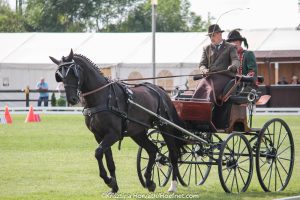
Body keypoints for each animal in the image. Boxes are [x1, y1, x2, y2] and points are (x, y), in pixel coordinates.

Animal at [49, 49, 185, 193]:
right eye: (60, 75)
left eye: (73, 72)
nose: (72, 99)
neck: (102, 97)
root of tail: (161, 91)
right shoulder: (99, 135)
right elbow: (109, 161)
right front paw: (113, 186)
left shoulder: (113, 134)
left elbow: (98, 152)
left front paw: (108, 180)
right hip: (137, 133)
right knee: (152, 150)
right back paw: (149, 182)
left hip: (165, 127)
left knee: (173, 154)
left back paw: (173, 185)